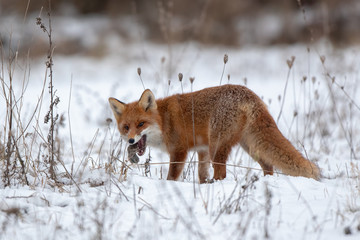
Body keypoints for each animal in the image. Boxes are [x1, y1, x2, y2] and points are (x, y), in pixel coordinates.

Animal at [109, 84, 320, 182]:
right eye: (126, 127)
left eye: (141, 124)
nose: (130, 141)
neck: (163, 120)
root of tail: (249, 94)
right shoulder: (201, 150)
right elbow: (201, 174)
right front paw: (203, 186)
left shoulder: (179, 151)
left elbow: (172, 176)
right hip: (249, 146)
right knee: (268, 166)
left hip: (217, 147)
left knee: (222, 174)